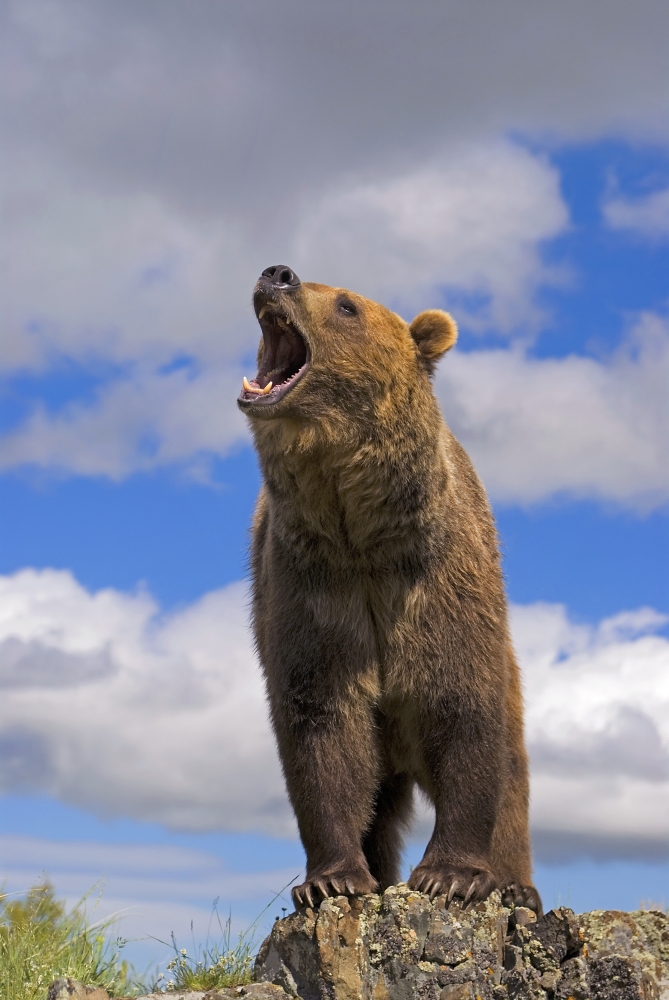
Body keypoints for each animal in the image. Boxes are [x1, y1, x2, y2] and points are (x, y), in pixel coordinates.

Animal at [238, 264, 541, 915]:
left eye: (347, 305)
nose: (276, 275)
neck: (359, 531)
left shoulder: (435, 584)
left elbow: (464, 712)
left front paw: (452, 875)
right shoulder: (314, 590)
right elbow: (321, 726)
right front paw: (332, 878)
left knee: (511, 769)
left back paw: (517, 886)